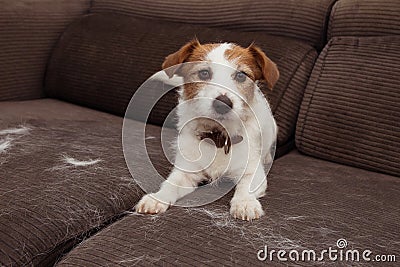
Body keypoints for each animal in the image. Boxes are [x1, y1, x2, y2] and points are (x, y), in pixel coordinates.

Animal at [134, 39, 278, 220]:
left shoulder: (252, 171)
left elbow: (245, 187)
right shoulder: (187, 171)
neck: (218, 137)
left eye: (241, 75)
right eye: (203, 73)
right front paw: (157, 198)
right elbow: (171, 184)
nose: (223, 103)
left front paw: (245, 203)